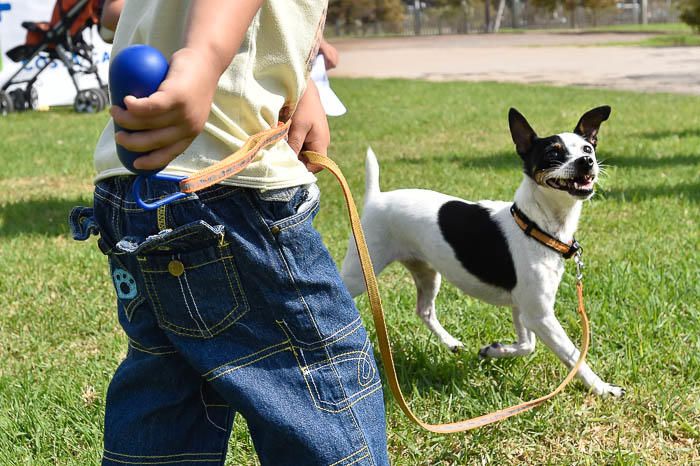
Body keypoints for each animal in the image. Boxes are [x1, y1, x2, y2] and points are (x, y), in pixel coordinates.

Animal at [340, 106, 624, 396]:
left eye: (588, 149)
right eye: (553, 153)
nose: (586, 162)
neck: (534, 225)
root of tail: (375, 198)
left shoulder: (524, 308)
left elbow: (527, 345)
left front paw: (495, 350)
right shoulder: (540, 315)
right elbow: (574, 356)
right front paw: (602, 388)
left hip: (427, 273)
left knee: (424, 310)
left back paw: (451, 342)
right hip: (360, 272)